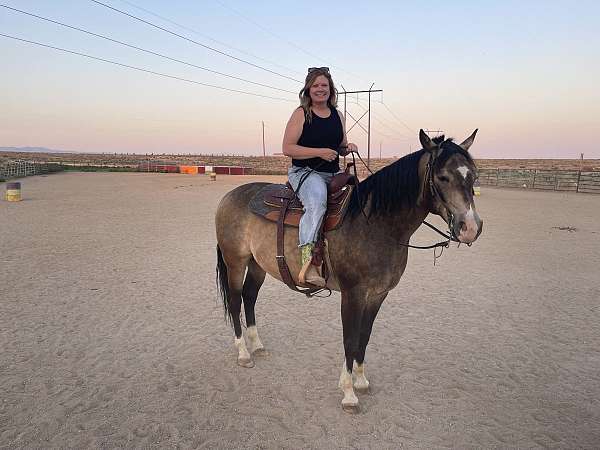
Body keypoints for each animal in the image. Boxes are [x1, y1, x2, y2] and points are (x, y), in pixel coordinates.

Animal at [216, 129, 482, 412]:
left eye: (474, 176)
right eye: (442, 177)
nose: (471, 227)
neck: (376, 224)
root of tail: (229, 196)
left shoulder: (378, 294)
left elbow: (364, 336)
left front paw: (361, 381)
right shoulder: (352, 294)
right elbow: (350, 339)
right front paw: (348, 392)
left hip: (258, 264)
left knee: (249, 297)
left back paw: (257, 345)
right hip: (236, 262)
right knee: (235, 300)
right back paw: (243, 352)